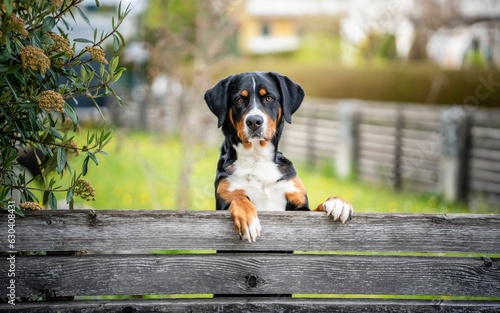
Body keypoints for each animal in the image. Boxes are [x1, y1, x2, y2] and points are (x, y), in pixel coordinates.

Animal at [203, 72, 352, 243]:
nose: (254, 121)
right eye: (239, 99)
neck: (257, 158)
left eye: (269, 98)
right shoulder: (225, 199)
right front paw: (248, 219)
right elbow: (239, 199)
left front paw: (336, 202)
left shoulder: (299, 207)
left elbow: (317, 207)